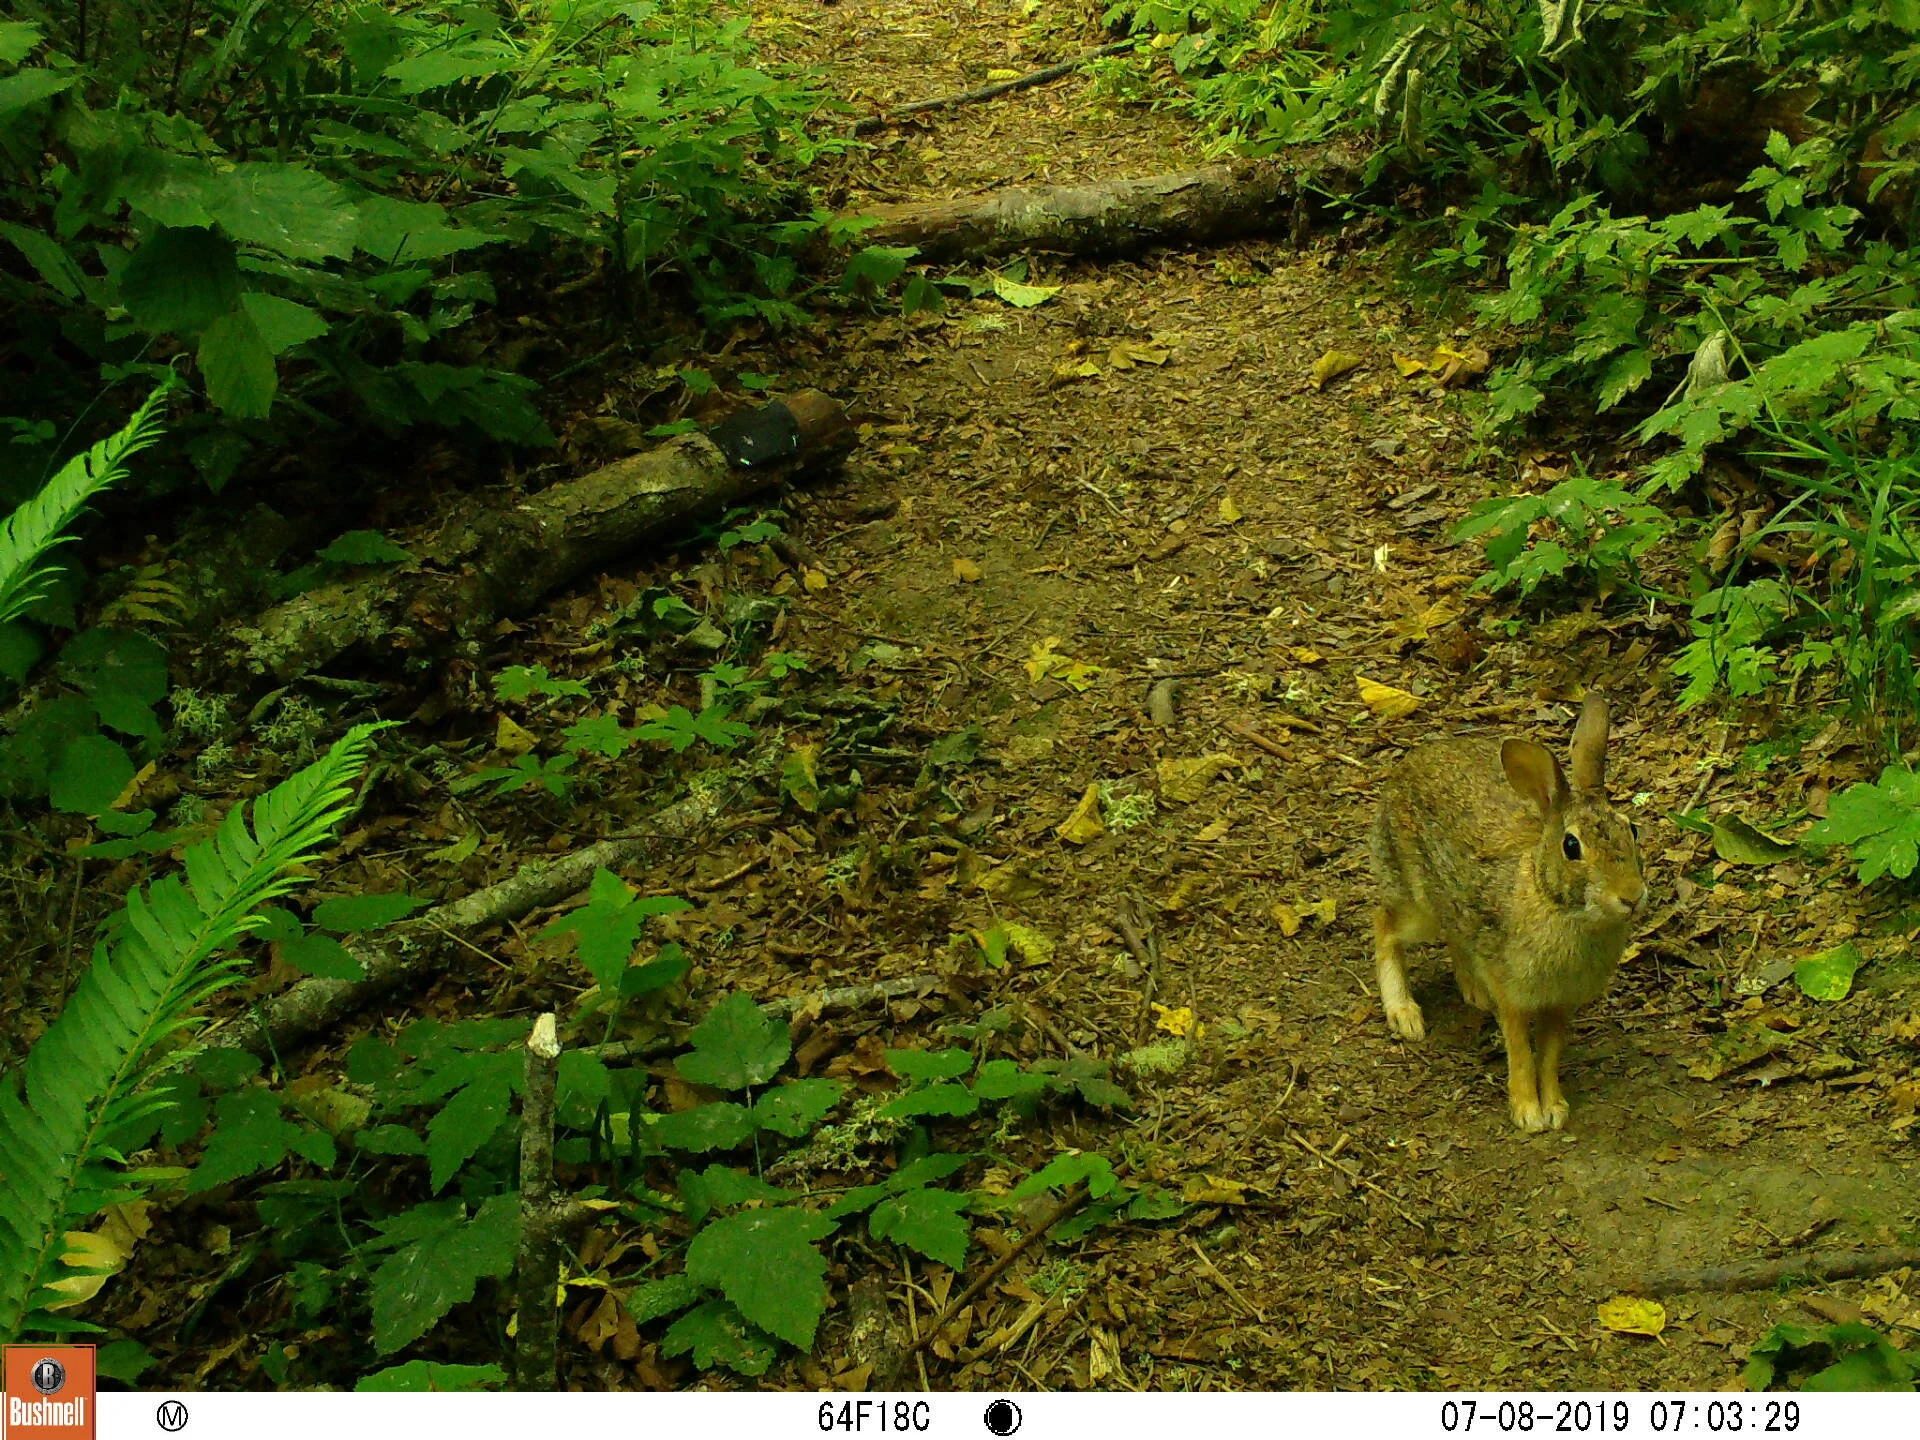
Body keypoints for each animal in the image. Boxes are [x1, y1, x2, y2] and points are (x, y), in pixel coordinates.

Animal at [1369, 694, 1645, 1132]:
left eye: (1631, 829)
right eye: (1571, 846)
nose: (1632, 896)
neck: (1551, 900)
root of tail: (1404, 769)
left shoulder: (1560, 1002)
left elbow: (1549, 1054)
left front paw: (1555, 1109)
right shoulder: (1513, 990)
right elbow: (1520, 1049)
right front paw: (1528, 1113)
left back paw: (1473, 991)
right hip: (1418, 904)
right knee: (1385, 923)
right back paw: (1404, 1013)